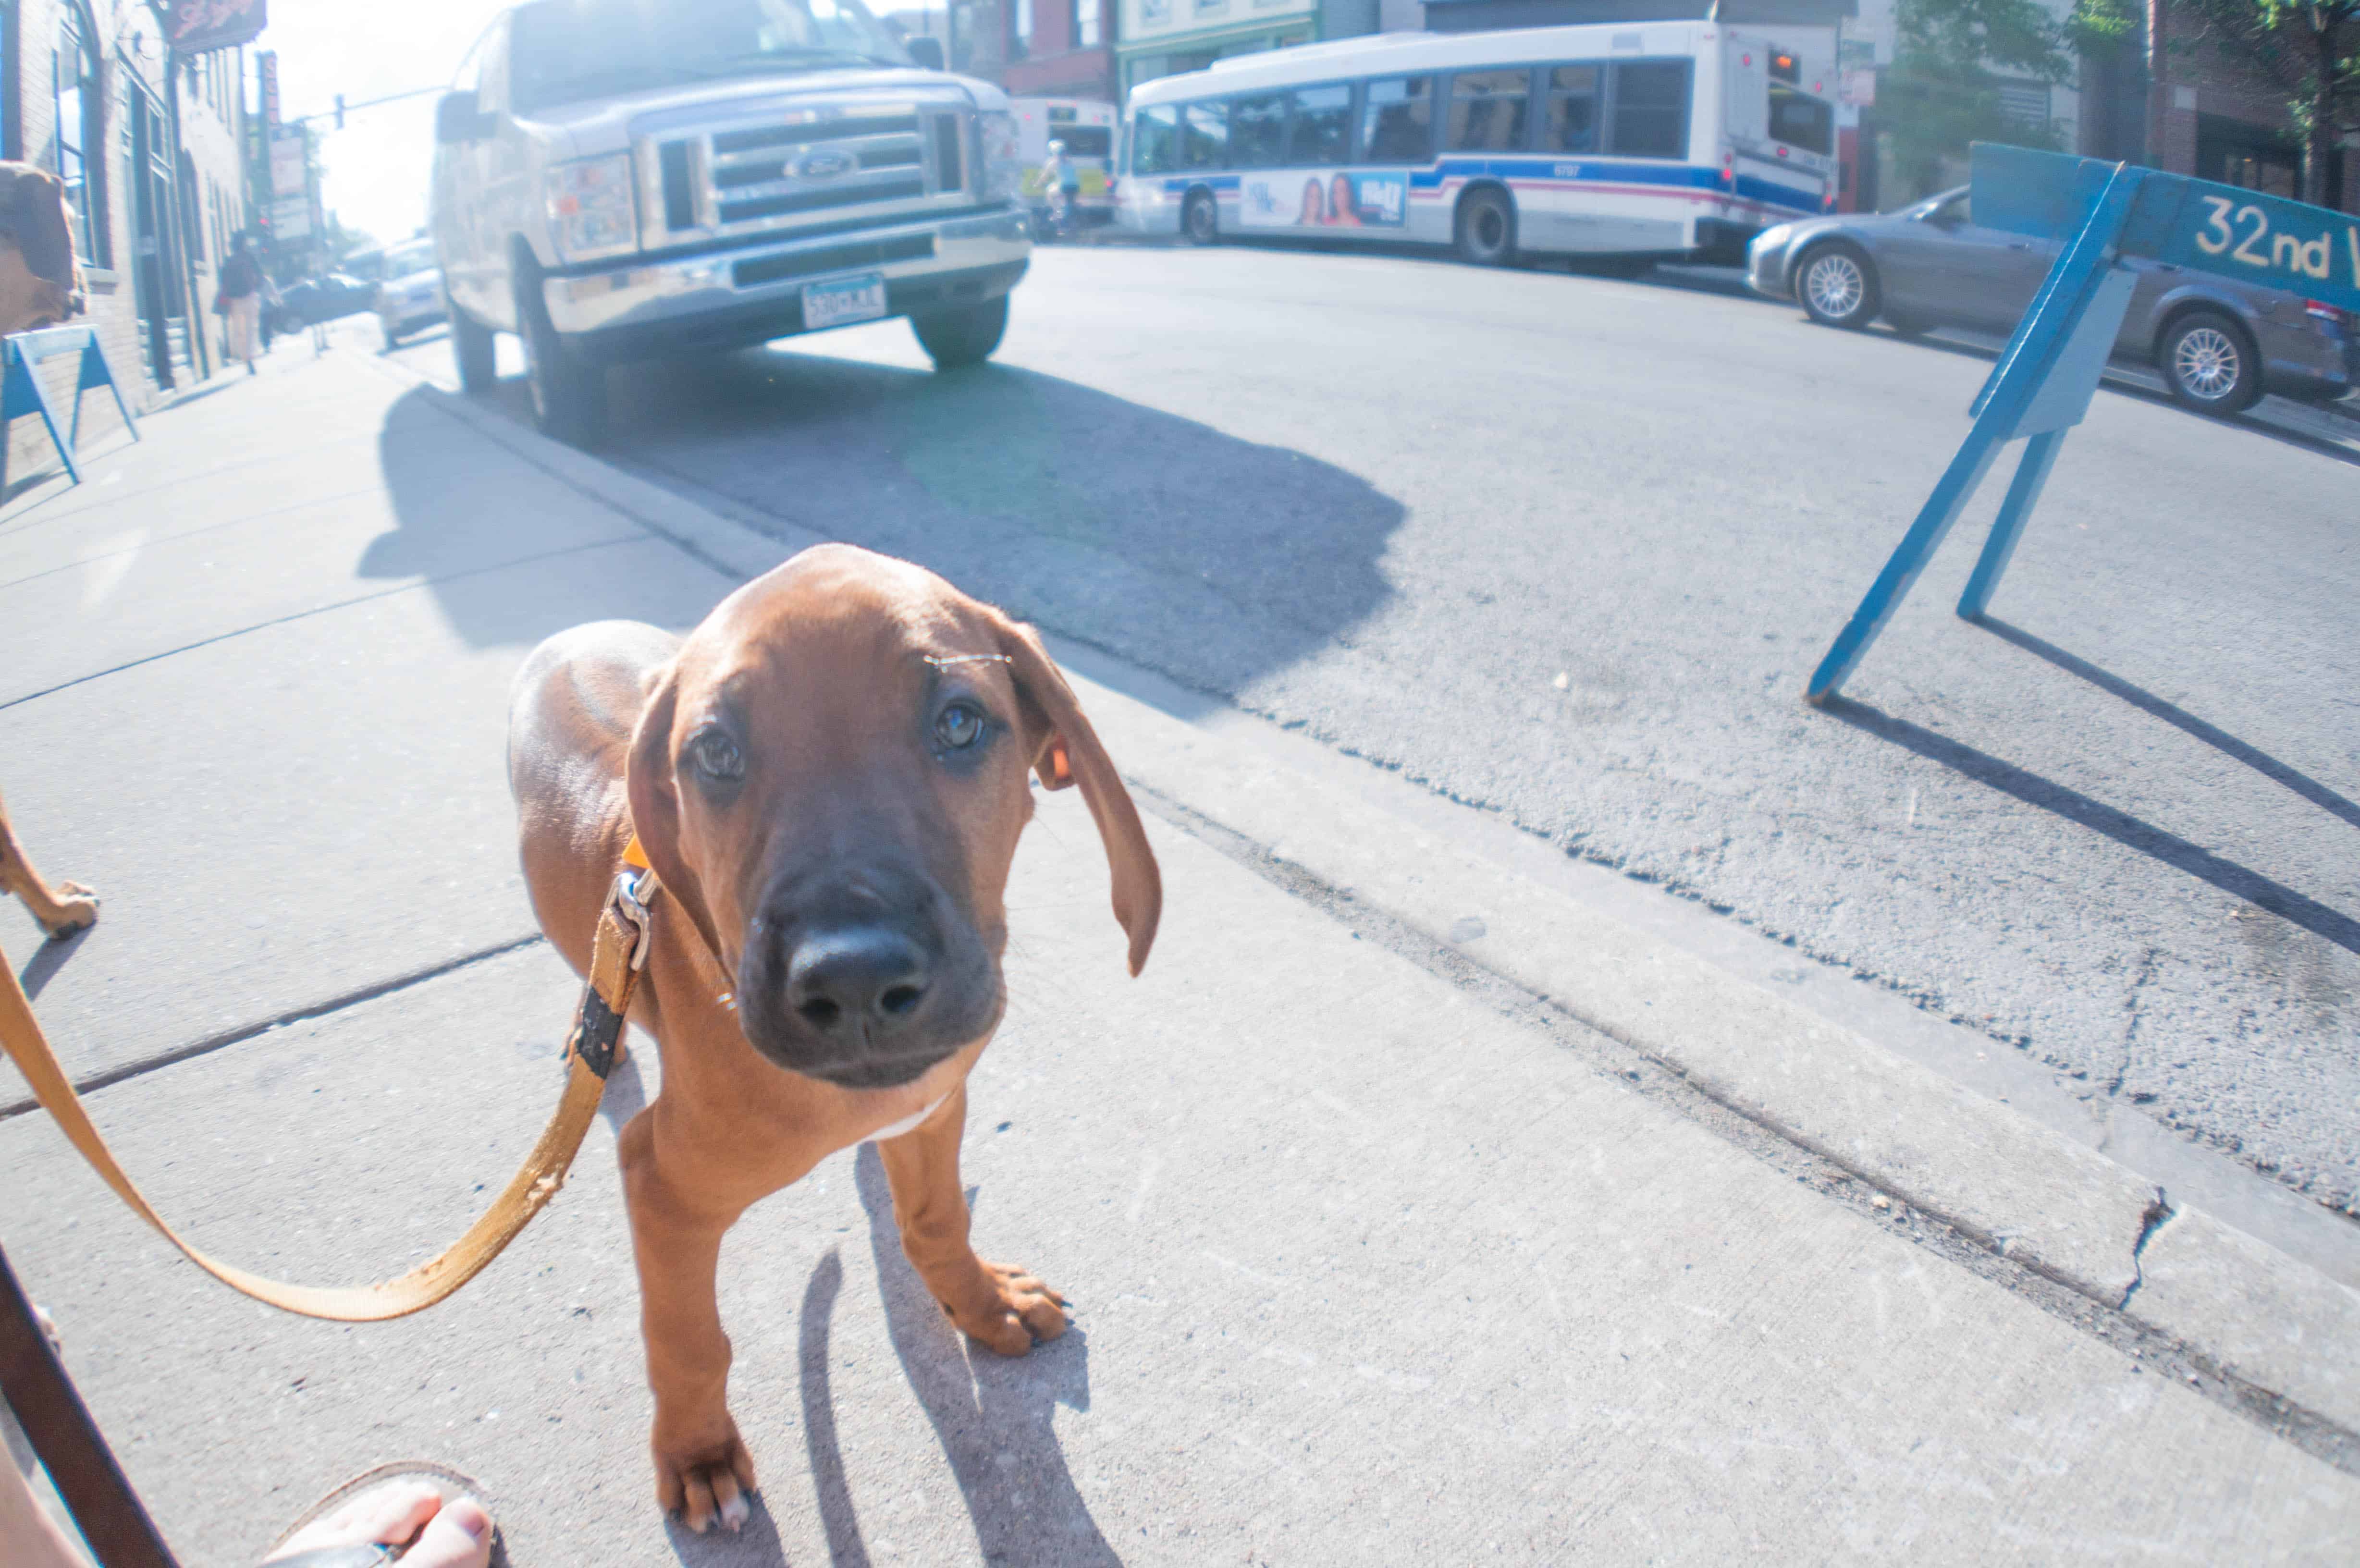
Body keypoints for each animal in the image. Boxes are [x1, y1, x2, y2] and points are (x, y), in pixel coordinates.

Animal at [509, 543, 1161, 1530]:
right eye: (715, 752)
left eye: (960, 722)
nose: (853, 979)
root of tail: (570, 632)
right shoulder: (660, 1181)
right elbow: (685, 1334)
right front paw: (698, 1453)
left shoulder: (932, 1104)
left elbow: (936, 1219)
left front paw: (981, 1304)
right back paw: (600, 1033)